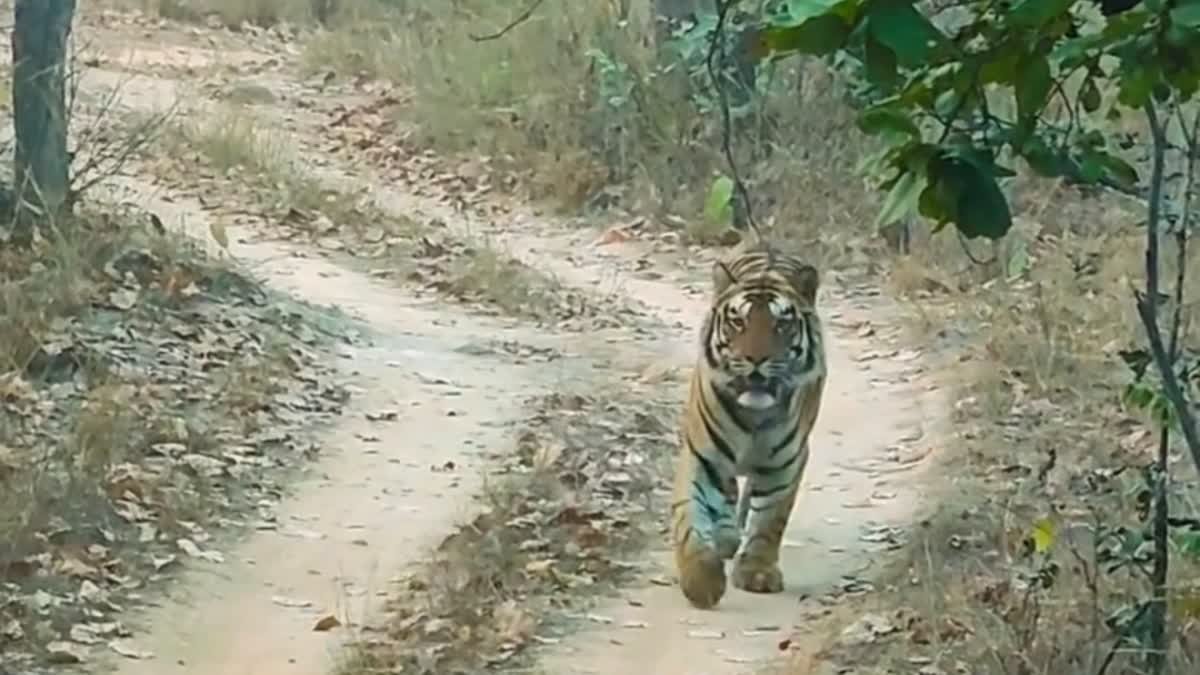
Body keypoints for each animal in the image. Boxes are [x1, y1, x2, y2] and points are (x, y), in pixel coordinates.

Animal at [670, 234, 827, 610]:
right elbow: (690, 519)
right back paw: (725, 536)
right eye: (738, 323)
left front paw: (757, 571)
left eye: (781, 324)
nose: (755, 359)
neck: (754, 417)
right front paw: (701, 581)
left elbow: (770, 519)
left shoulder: (787, 463)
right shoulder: (700, 456)